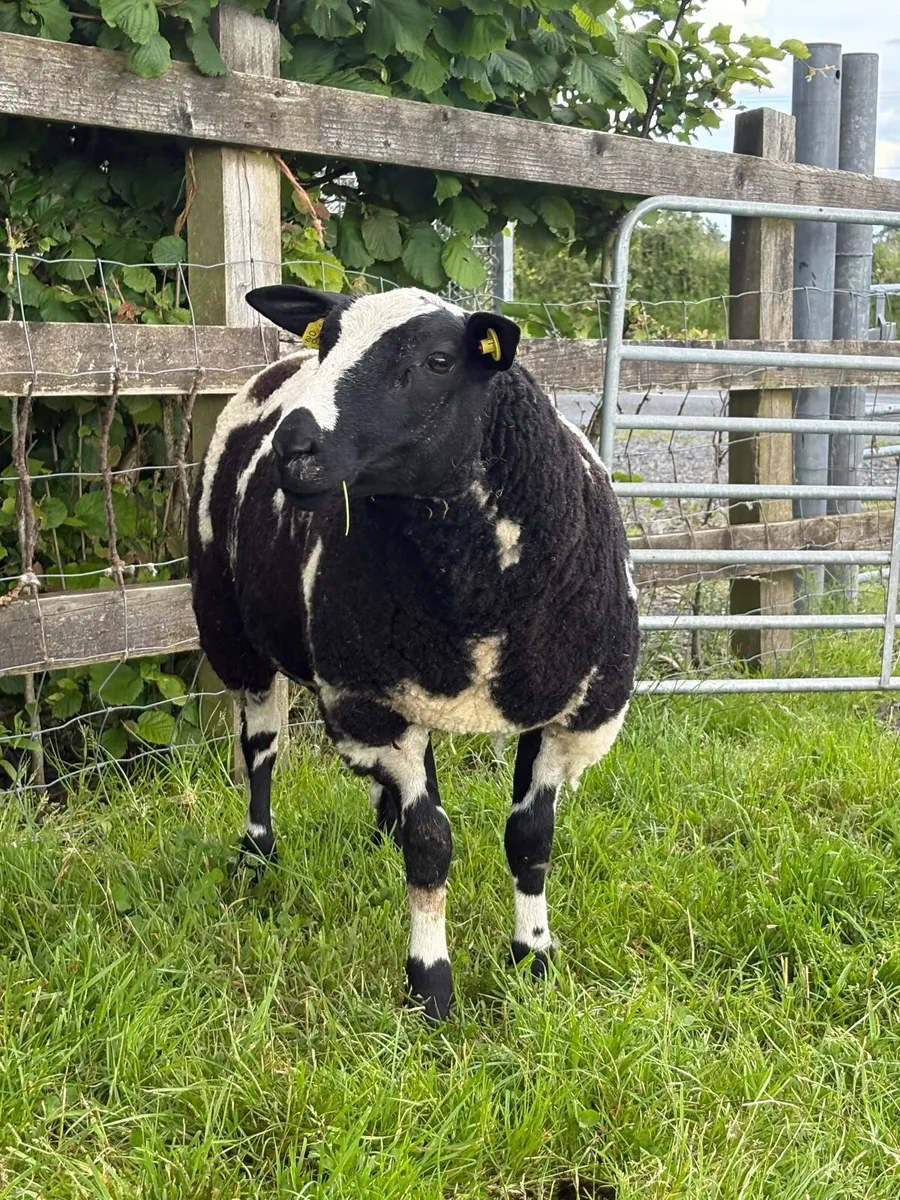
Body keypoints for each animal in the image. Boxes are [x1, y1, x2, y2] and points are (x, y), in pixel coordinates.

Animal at [188, 285, 640, 1021]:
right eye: (327, 340)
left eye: (438, 362)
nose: (294, 448)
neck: (480, 600)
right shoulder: (371, 701)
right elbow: (432, 846)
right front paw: (430, 985)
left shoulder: (573, 712)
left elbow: (531, 839)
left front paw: (533, 960)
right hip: (232, 625)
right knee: (260, 749)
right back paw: (257, 855)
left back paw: (377, 839)